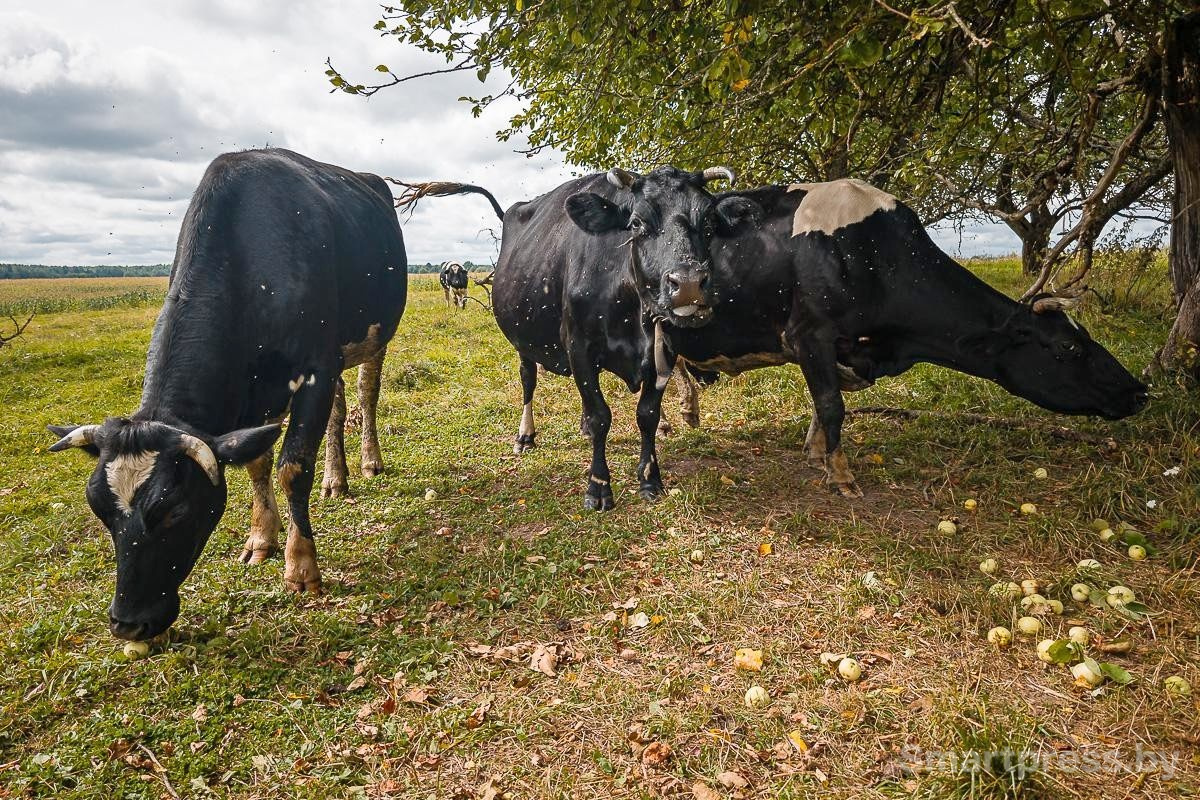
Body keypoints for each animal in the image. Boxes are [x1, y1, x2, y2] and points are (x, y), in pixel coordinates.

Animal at [47, 148, 408, 640]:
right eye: (99, 509)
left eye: (175, 510)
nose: (128, 623)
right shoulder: (261, 392)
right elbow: (257, 462)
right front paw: (260, 538)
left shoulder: (314, 369)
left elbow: (293, 467)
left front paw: (301, 567)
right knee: (338, 409)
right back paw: (337, 478)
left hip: (371, 338)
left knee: (366, 394)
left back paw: (370, 461)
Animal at [397, 166, 762, 510]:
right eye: (636, 224)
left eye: (709, 224)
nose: (687, 284)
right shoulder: (579, 347)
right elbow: (601, 416)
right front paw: (598, 487)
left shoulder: (664, 352)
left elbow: (647, 414)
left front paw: (650, 479)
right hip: (522, 341)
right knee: (528, 381)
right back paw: (525, 436)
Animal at [662, 178, 1148, 495]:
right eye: (1068, 346)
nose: (1139, 391)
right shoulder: (809, 334)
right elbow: (832, 405)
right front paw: (841, 476)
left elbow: (826, 402)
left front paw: (817, 454)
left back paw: (685, 412)